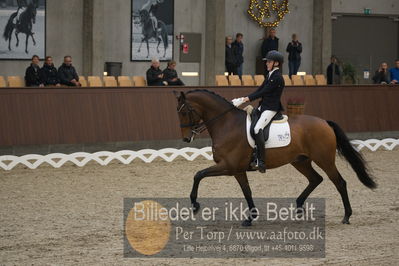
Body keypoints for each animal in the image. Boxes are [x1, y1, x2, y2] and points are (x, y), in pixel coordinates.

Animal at [173, 90, 376, 227]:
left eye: (184, 112)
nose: (186, 139)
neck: (226, 124)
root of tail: (325, 122)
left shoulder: (229, 166)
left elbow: (199, 174)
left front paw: (195, 204)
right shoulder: (237, 170)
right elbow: (247, 191)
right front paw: (251, 217)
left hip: (324, 160)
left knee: (339, 182)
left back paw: (347, 216)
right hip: (300, 161)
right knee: (315, 179)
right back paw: (299, 207)